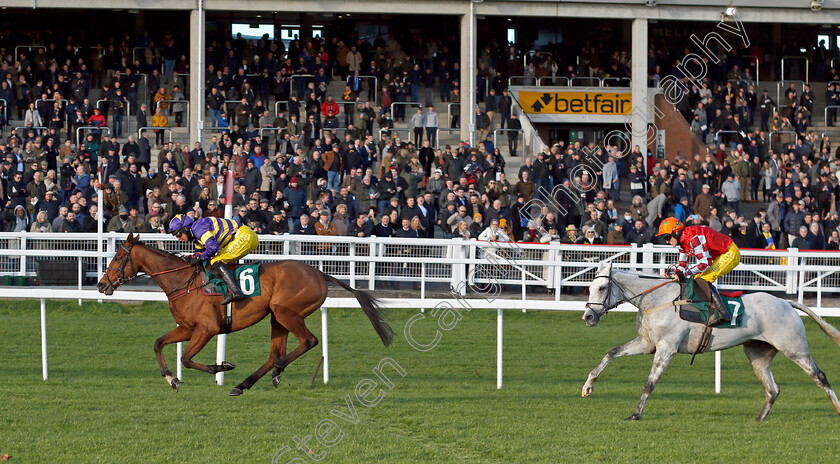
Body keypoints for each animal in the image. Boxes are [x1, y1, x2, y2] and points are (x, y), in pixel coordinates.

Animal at [96, 236, 394, 396]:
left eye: (116, 259)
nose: (101, 285)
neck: (183, 281)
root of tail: (319, 273)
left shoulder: (206, 329)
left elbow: (186, 359)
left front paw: (222, 367)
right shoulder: (186, 328)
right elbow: (158, 343)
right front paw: (172, 379)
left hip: (286, 312)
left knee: (308, 342)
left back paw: (275, 371)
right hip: (276, 317)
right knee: (275, 354)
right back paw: (245, 384)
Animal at [580, 264, 840, 420]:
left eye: (602, 287)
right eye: (589, 288)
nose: (588, 317)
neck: (658, 300)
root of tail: (786, 303)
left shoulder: (666, 348)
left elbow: (649, 383)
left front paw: (635, 414)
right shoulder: (647, 343)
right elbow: (611, 352)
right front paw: (588, 386)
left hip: (794, 348)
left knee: (820, 376)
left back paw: (837, 408)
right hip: (758, 354)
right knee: (772, 389)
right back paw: (758, 419)